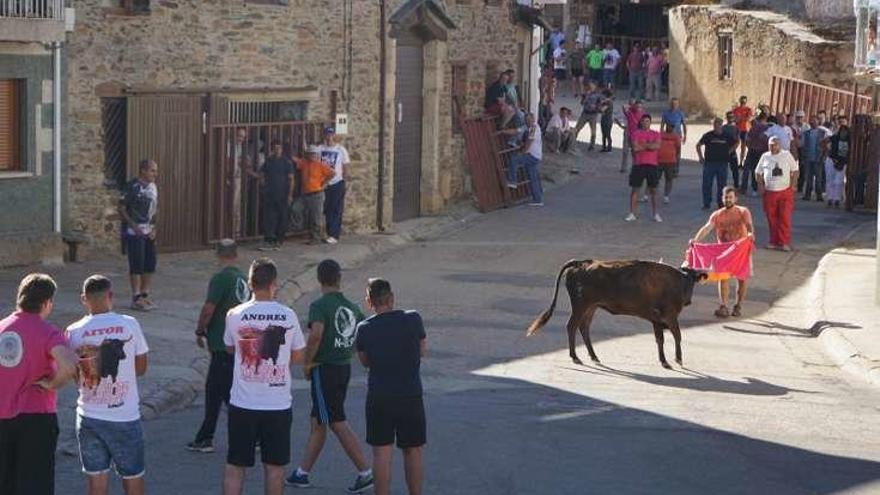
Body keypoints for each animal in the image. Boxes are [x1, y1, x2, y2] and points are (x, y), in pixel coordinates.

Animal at [524, 260, 704, 368]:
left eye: (694, 280)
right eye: (689, 281)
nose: (688, 301)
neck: (674, 281)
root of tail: (581, 263)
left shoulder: (656, 320)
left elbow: (660, 339)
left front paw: (664, 361)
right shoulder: (670, 317)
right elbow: (677, 336)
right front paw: (677, 359)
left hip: (591, 307)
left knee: (584, 327)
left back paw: (594, 356)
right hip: (580, 307)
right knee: (571, 326)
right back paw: (575, 357)